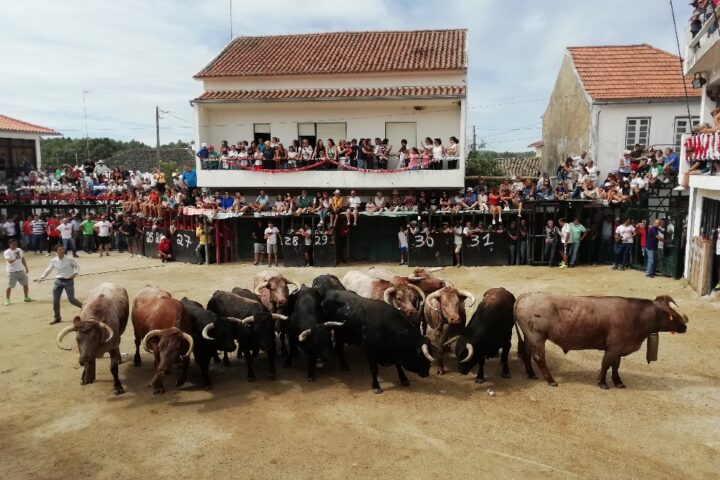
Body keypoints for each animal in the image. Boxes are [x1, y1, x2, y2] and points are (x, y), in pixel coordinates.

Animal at [514, 294, 689, 389]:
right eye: (672, 313)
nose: (685, 326)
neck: (638, 315)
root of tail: (526, 296)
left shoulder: (618, 349)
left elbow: (615, 366)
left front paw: (618, 382)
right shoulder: (613, 348)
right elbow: (606, 364)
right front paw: (602, 383)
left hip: (529, 336)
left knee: (527, 353)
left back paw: (531, 374)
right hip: (537, 337)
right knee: (539, 358)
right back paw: (551, 380)